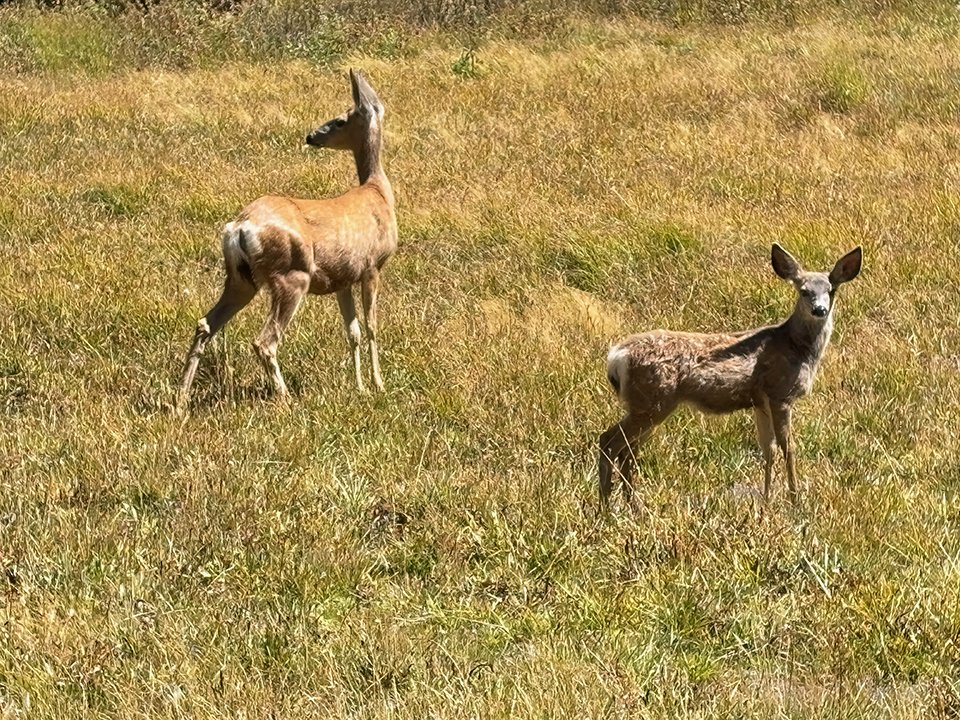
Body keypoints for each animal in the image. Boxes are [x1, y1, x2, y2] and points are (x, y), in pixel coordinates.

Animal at [176, 69, 397, 412]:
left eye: (339, 120)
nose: (311, 136)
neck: (377, 192)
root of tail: (238, 227)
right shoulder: (372, 266)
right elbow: (372, 326)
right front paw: (378, 384)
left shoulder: (343, 278)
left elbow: (353, 331)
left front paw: (359, 387)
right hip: (291, 276)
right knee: (264, 341)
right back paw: (285, 398)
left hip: (241, 280)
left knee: (205, 324)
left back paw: (181, 399)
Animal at [598, 243, 862, 511]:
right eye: (803, 291)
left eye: (831, 290)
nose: (819, 310)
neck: (796, 348)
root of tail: (616, 356)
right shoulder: (780, 393)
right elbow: (789, 448)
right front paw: (795, 501)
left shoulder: (761, 402)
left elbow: (768, 449)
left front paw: (766, 501)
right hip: (652, 401)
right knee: (609, 441)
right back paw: (606, 507)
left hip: (649, 405)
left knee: (627, 450)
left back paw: (630, 505)